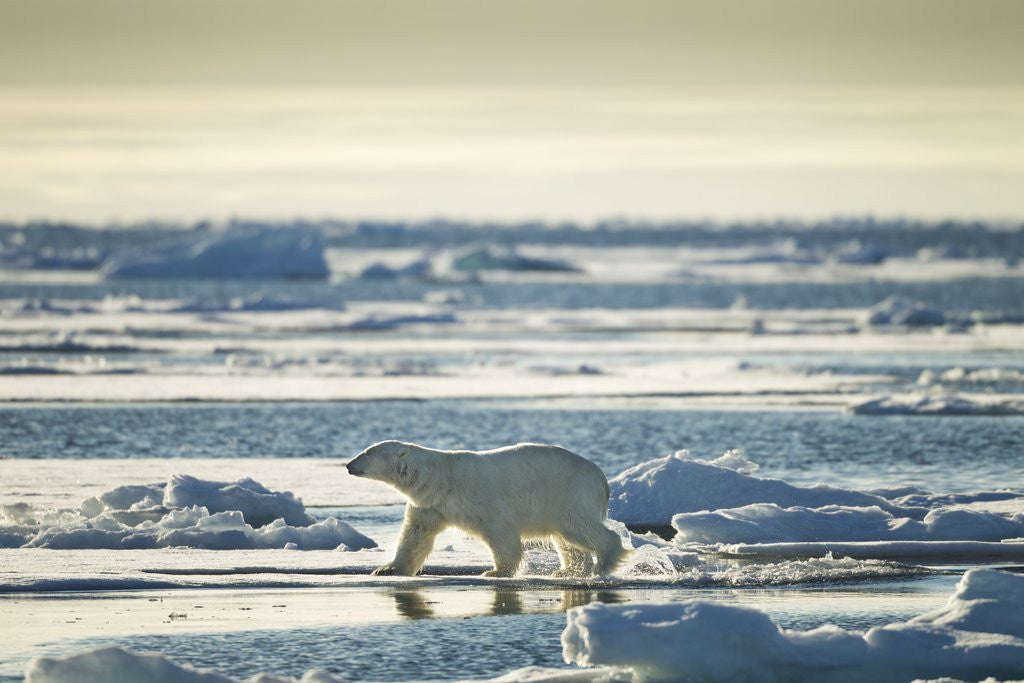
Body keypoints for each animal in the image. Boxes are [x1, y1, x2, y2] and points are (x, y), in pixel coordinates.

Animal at [346, 440, 626, 578]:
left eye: (367, 452)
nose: (348, 464)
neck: (441, 479)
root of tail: (601, 478)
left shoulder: (482, 498)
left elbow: (501, 533)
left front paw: (495, 571)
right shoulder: (430, 505)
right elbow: (415, 534)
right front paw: (387, 569)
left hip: (568, 492)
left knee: (578, 527)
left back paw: (603, 564)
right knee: (566, 539)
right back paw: (567, 571)